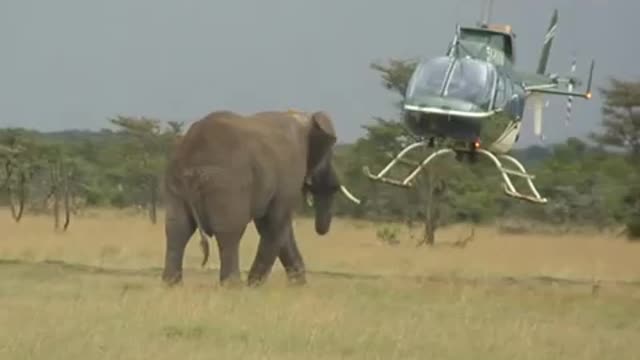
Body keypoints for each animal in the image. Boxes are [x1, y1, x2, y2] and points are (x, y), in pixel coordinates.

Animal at [160, 109, 360, 286]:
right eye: (328, 154)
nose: (321, 230)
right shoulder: (291, 170)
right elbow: (275, 223)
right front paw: (254, 285)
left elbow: (277, 227)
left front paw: (298, 286)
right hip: (227, 183)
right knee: (229, 231)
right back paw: (233, 286)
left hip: (174, 181)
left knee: (177, 228)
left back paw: (172, 284)